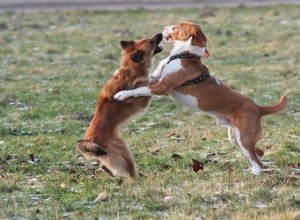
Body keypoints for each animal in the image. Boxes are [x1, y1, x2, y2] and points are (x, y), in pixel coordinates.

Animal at [76, 32, 163, 177]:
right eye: (151, 42)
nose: (160, 33)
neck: (131, 69)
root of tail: (90, 140)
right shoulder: (143, 100)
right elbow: (149, 84)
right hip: (124, 149)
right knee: (129, 170)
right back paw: (138, 178)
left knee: (103, 166)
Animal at [113, 21, 288, 175]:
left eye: (177, 27)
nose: (162, 28)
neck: (184, 55)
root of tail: (258, 108)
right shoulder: (157, 78)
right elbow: (145, 79)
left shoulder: (162, 87)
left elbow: (139, 89)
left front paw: (121, 94)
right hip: (235, 138)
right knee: (260, 152)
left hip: (243, 138)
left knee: (257, 160)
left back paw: (255, 173)